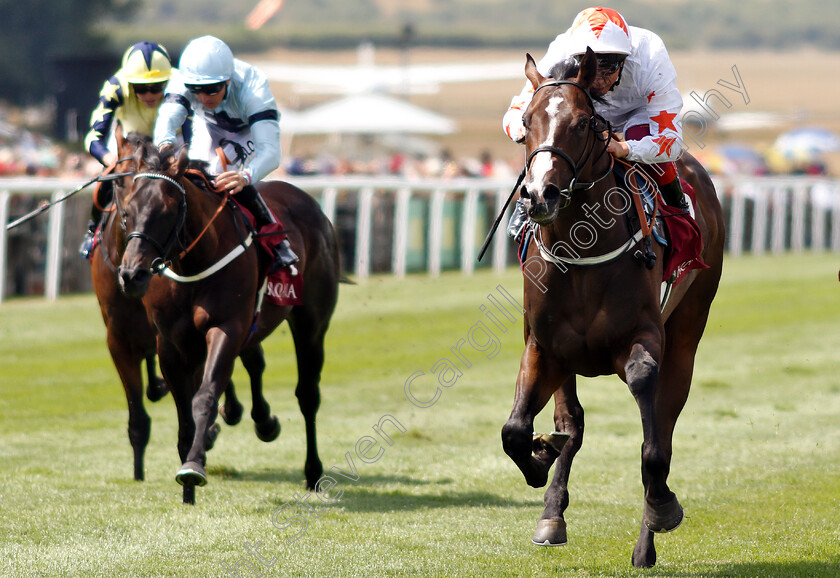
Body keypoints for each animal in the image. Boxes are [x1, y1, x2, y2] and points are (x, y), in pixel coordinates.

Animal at [111, 129, 342, 500]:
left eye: (168, 210)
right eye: (127, 210)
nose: (132, 275)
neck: (192, 264)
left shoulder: (226, 328)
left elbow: (204, 396)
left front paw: (193, 467)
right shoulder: (170, 344)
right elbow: (184, 413)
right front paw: (188, 486)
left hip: (311, 322)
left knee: (307, 394)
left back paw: (313, 472)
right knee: (256, 362)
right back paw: (264, 422)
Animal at [502, 50, 724, 568]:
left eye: (583, 123)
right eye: (526, 122)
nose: (540, 195)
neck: (582, 253)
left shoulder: (643, 338)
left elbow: (651, 437)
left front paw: (662, 507)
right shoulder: (544, 347)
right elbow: (517, 429)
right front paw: (541, 461)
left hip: (688, 330)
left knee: (664, 423)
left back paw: (647, 539)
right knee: (572, 424)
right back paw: (552, 512)